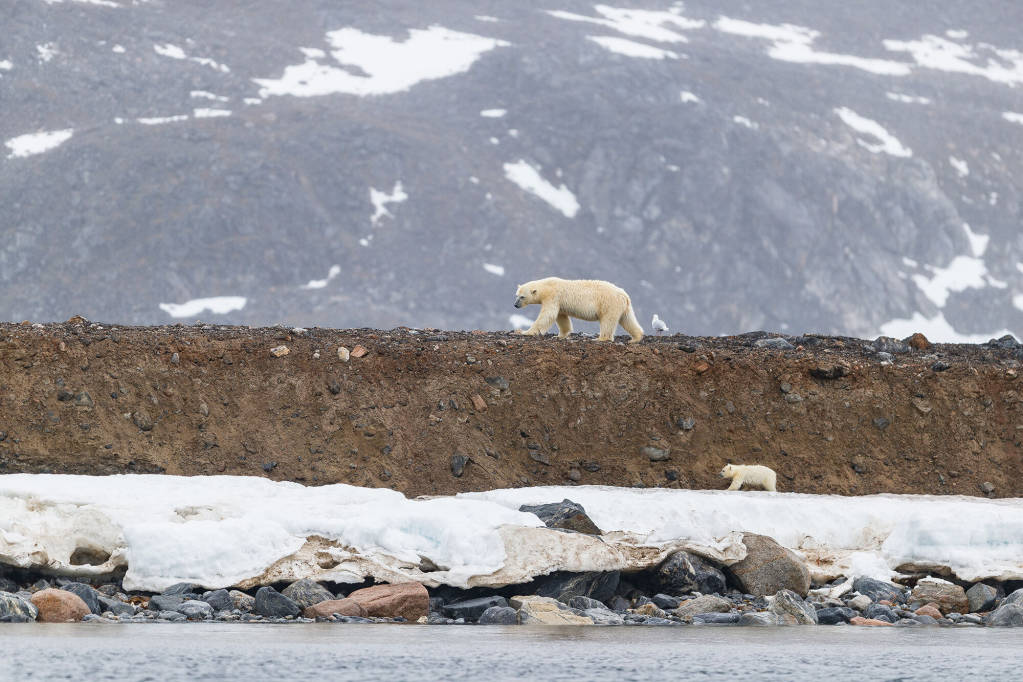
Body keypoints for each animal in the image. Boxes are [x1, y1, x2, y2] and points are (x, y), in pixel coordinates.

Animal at [513, 277, 644, 343]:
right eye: (516, 295)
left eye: (522, 297)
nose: (515, 305)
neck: (546, 286)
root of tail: (624, 295)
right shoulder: (560, 302)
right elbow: (561, 317)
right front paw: (559, 336)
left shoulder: (553, 296)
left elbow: (547, 315)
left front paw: (524, 332)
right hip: (623, 307)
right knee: (627, 320)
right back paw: (636, 338)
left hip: (608, 303)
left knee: (608, 321)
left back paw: (600, 338)